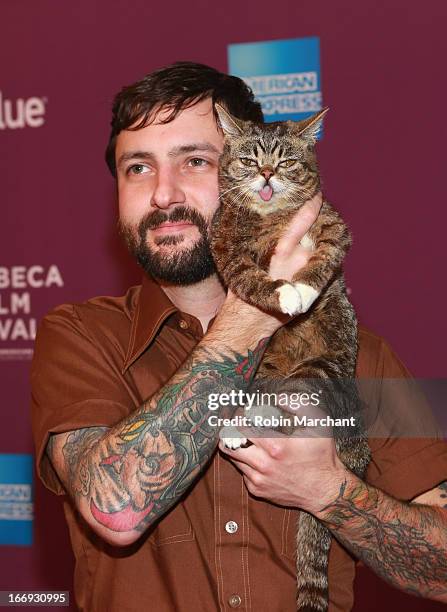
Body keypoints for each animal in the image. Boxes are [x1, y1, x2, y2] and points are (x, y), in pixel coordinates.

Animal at [212, 105, 372, 612]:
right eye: (249, 159)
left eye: (284, 162)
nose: (266, 174)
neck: (272, 217)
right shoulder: (224, 247)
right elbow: (249, 278)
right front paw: (282, 292)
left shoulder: (333, 227)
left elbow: (322, 261)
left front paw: (300, 288)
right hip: (263, 368)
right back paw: (236, 423)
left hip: (320, 371)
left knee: (290, 411)